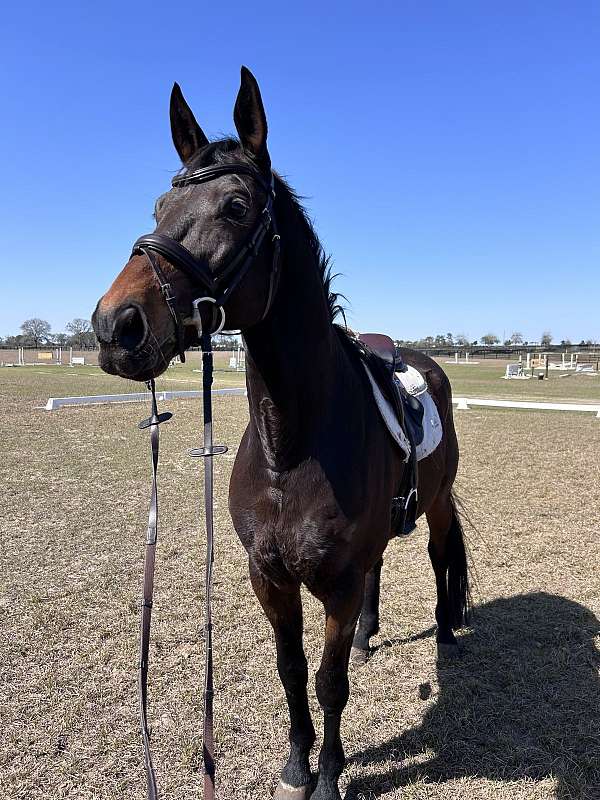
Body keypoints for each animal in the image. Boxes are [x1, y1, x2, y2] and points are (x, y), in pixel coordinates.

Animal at [92, 67, 468, 800]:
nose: (115, 325)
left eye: (237, 206)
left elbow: (328, 682)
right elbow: (291, 671)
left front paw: (328, 777)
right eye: (159, 206)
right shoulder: (269, 577)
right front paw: (298, 762)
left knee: (439, 557)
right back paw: (369, 636)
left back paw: (443, 633)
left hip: (436, 505)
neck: (289, 448)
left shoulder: (336, 585)